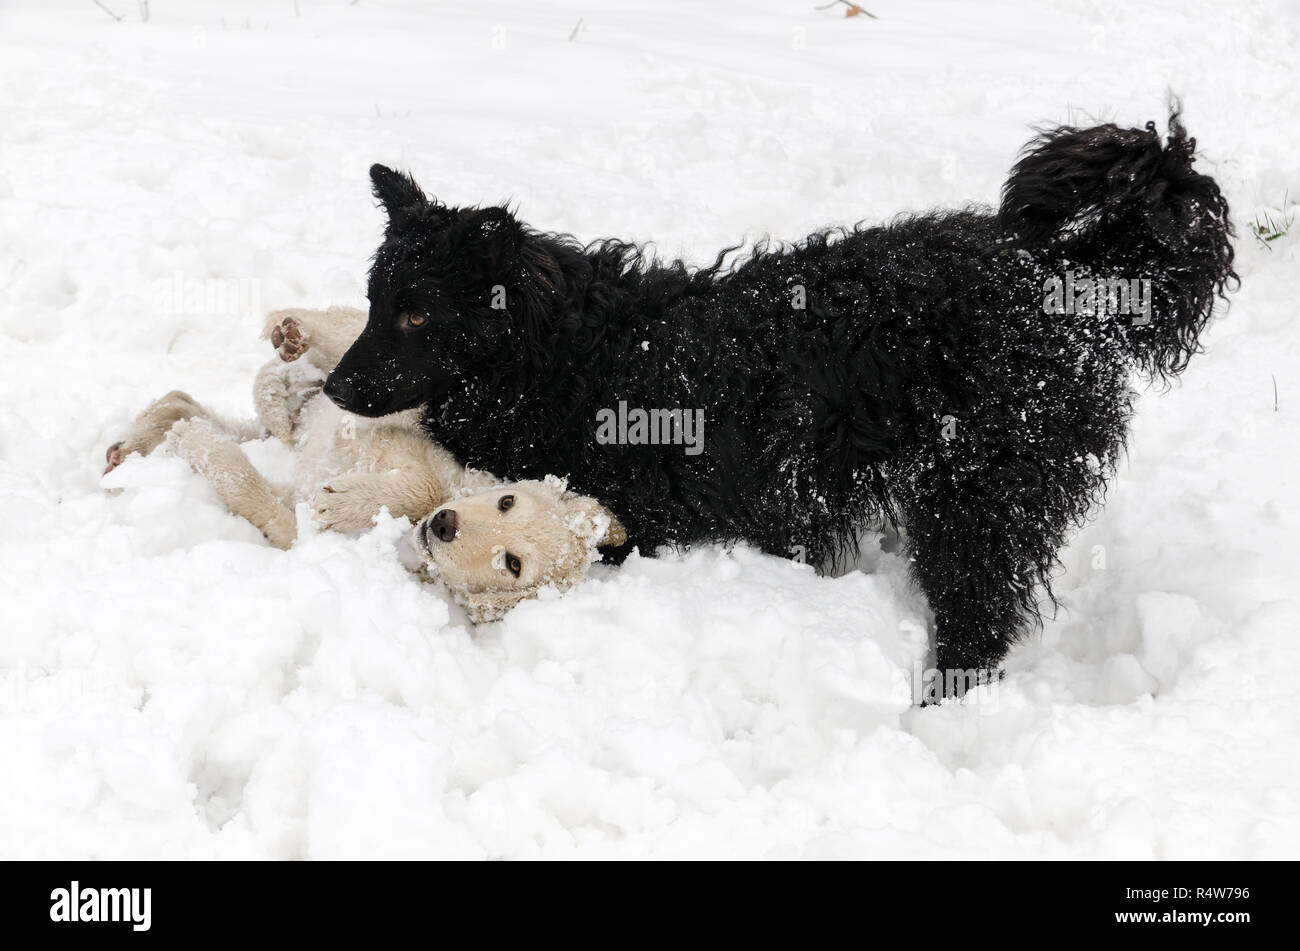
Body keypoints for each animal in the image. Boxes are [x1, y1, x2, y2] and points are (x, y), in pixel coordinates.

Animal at [327, 111, 1237, 691]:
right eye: (374, 301)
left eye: (416, 315)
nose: (334, 385)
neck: (564, 356)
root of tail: (1056, 274)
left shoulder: (623, 519)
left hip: (982, 495)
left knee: (979, 617)